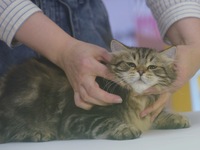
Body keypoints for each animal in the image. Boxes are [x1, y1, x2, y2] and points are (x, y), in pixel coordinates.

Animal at [0, 40, 189, 143]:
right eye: (131, 64)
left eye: (152, 67)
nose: (141, 71)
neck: (137, 99)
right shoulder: (75, 116)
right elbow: (105, 122)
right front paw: (124, 128)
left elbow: (157, 115)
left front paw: (175, 117)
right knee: (9, 131)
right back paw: (38, 132)